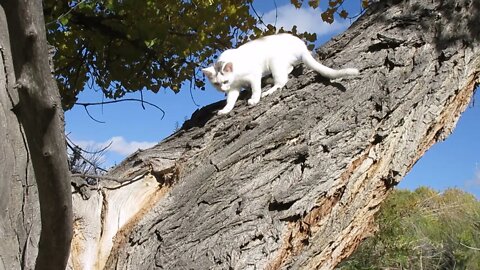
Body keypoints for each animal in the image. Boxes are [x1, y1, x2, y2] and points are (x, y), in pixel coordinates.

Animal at [201, 33, 358, 114]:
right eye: (216, 84)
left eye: (225, 82)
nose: (223, 89)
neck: (235, 77)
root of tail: (302, 46)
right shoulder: (234, 88)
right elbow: (230, 100)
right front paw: (226, 109)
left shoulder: (253, 75)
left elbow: (256, 89)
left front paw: (254, 99)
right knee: (289, 70)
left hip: (274, 61)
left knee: (282, 81)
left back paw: (269, 90)